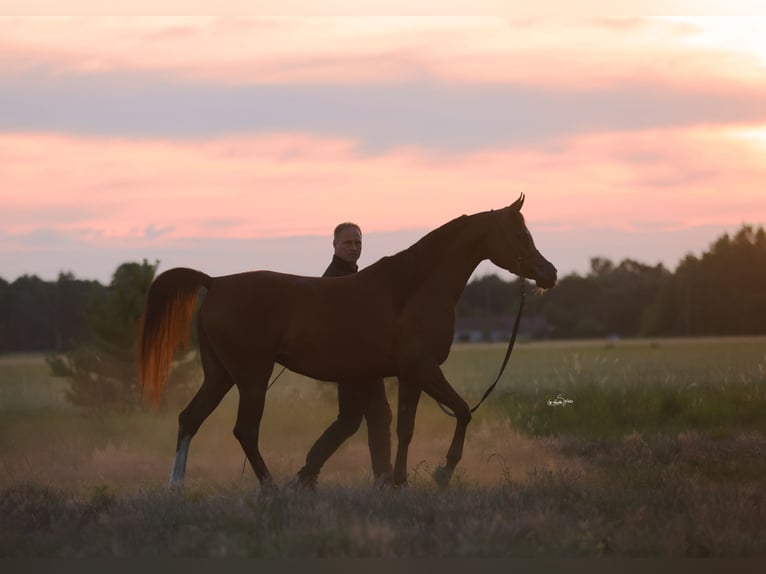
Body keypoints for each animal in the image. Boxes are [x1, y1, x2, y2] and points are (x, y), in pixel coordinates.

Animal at [138, 196, 560, 492]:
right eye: (521, 234)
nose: (550, 273)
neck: (411, 290)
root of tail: (216, 282)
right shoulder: (424, 370)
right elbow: (461, 412)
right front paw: (442, 472)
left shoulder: (410, 375)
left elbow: (403, 427)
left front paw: (398, 482)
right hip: (252, 378)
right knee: (244, 431)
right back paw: (272, 489)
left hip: (220, 375)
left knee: (190, 418)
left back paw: (177, 487)